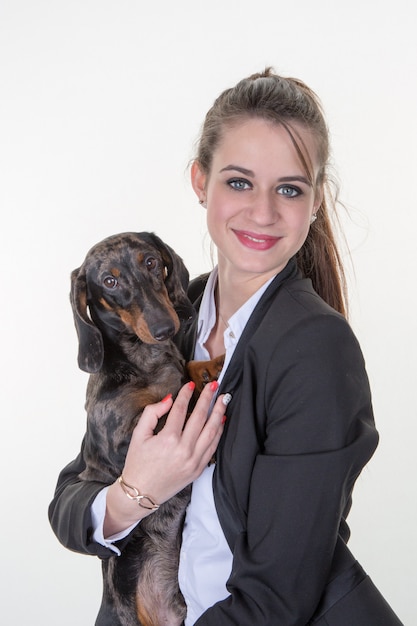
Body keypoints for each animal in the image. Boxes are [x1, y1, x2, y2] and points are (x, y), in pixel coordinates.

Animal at [70, 232, 224, 620]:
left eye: (151, 262)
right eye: (109, 281)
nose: (165, 328)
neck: (148, 361)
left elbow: (187, 372)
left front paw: (208, 366)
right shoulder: (124, 439)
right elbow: (171, 411)